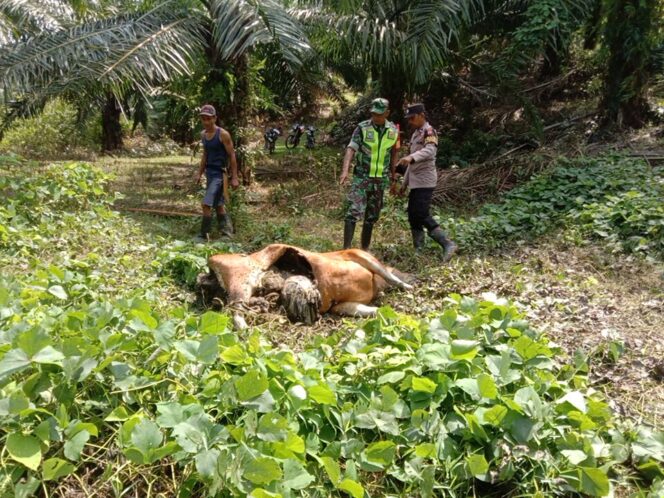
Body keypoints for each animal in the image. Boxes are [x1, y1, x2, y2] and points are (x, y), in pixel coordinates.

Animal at [197, 242, 412, 326]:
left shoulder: (342, 306)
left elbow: (375, 311)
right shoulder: (356, 253)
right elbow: (390, 276)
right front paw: (409, 288)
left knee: (236, 310)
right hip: (241, 282)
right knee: (235, 310)